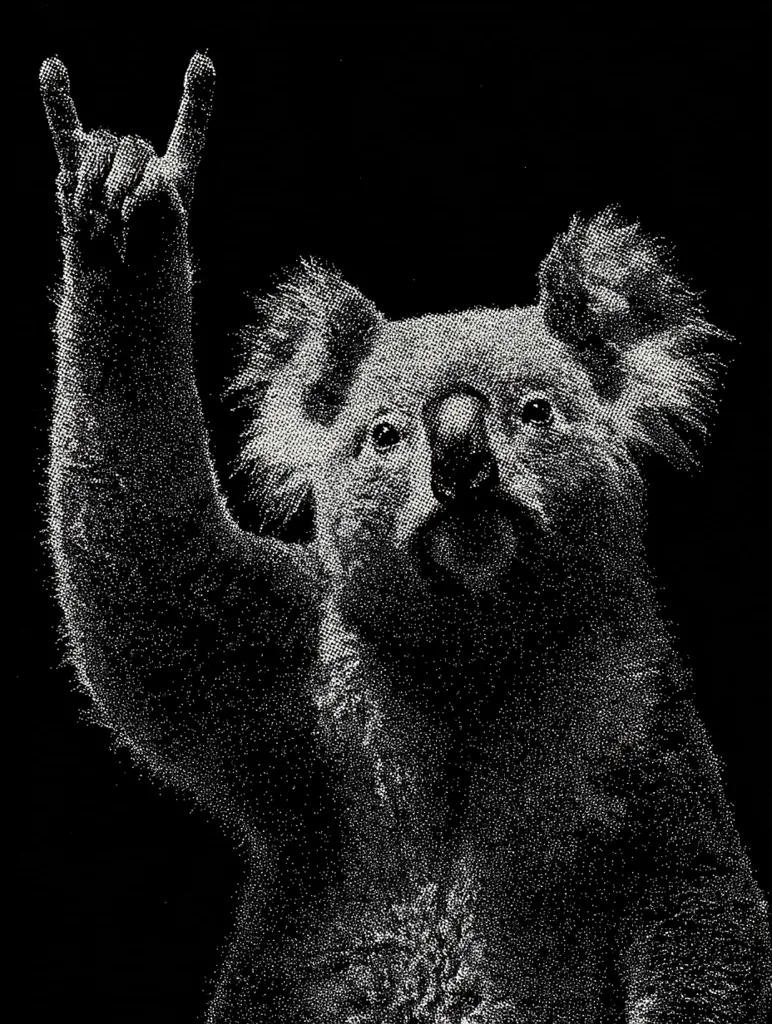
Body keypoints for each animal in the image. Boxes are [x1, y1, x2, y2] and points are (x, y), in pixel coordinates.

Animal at [40, 51, 771, 1023]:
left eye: (536, 412)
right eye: (384, 434)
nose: (463, 462)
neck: (470, 658)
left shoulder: (641, 717)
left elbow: (695, 908)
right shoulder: (286, 667)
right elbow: (150, 589)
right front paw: (126, 203)